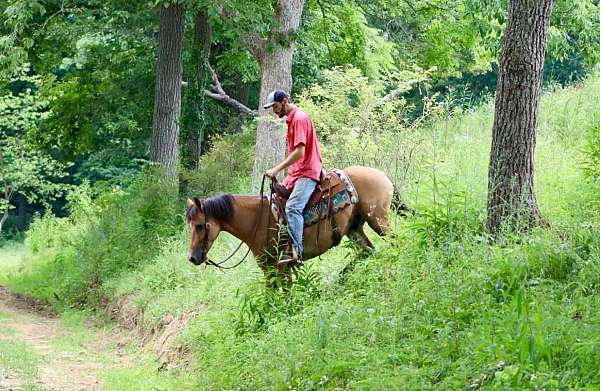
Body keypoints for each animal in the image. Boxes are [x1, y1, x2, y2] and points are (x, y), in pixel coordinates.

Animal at [185, 165, 406, 282]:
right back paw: (341, 278)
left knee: (395, 243)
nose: (192, 258)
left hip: (378, 220)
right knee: (368, 251)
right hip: (354, 229)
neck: (258, 220)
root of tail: (381, 174)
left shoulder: (277, 266)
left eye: (199, 225)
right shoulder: (278, 267)